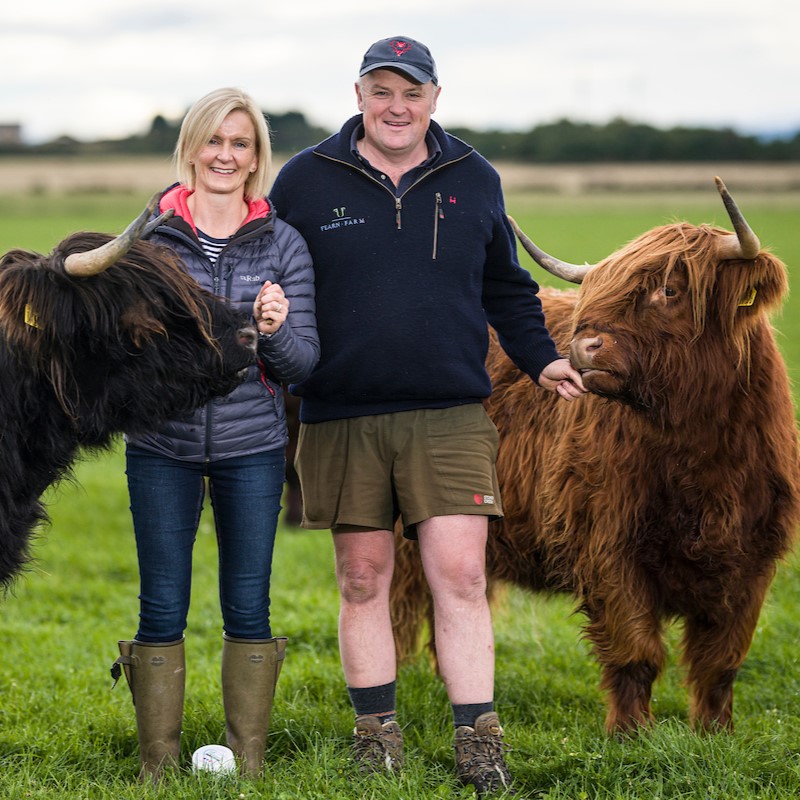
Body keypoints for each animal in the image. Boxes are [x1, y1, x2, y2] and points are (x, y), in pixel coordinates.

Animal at [389, 177, 800, 734]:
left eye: (670, 290)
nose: (584, 347)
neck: (700, 453)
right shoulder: (606, 542)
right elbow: (635, 649)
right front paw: (630, 733)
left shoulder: (752, 556)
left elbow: (721, 660)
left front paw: (715, 732)